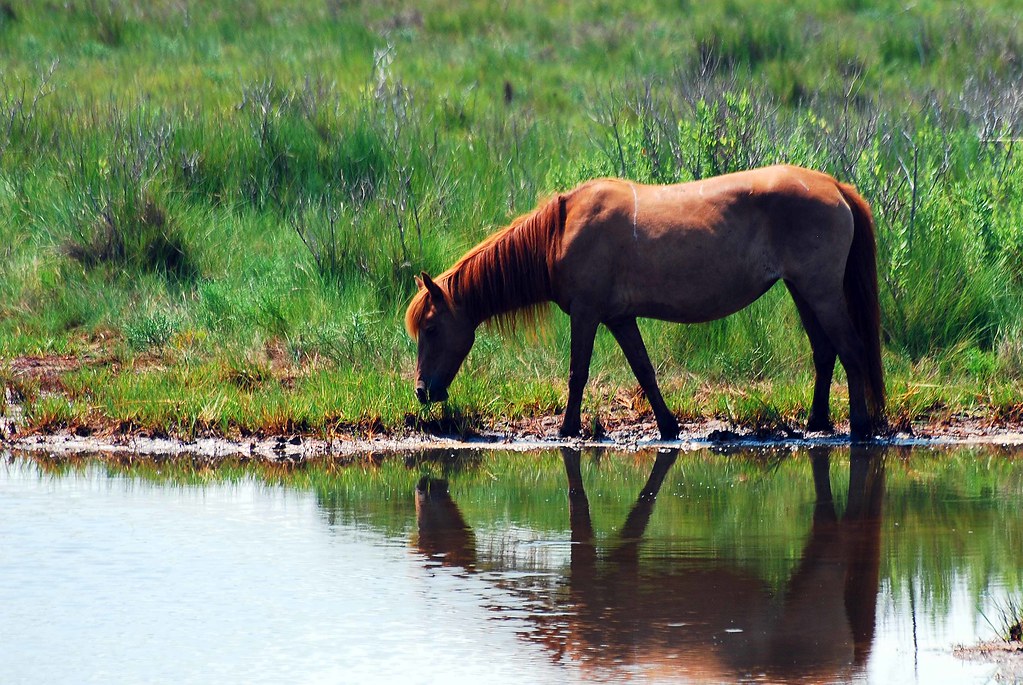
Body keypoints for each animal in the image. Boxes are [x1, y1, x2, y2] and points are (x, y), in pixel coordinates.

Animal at [405, 164, 886, 440]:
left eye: (431, 327)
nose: (422, 391)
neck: (560, 232)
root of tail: (834, 186)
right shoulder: (619, 318)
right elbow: (644, 371)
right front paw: (669, 426)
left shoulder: (586, 315)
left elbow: (578, 374)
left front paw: (568, 428)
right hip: (802, 290)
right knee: (825, 353)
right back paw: (818, 421)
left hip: (821, 291)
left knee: (851, 350)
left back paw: (860, 427)